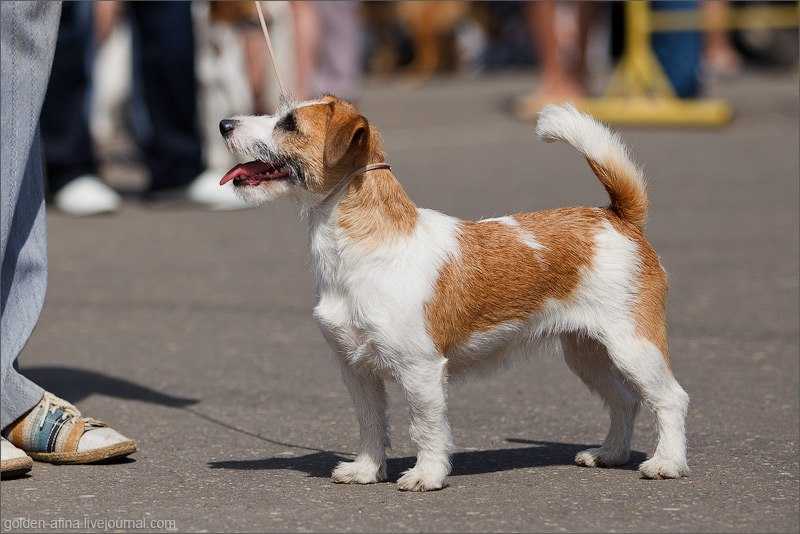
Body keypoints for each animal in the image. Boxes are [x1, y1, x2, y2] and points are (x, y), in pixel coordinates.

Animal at [217, 97, 688, 494]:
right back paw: (610, 453)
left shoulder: (420, 369)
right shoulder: (357, 369)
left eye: (289, 123)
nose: (224, 124)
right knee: (625, 400)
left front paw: (426, 475)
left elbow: (425, 427)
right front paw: (366, 471)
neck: (365, 246)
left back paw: (666, 463)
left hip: (632, 346)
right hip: (587, 353)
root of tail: (618, 217)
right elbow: (370, 424)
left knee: (670, 399)